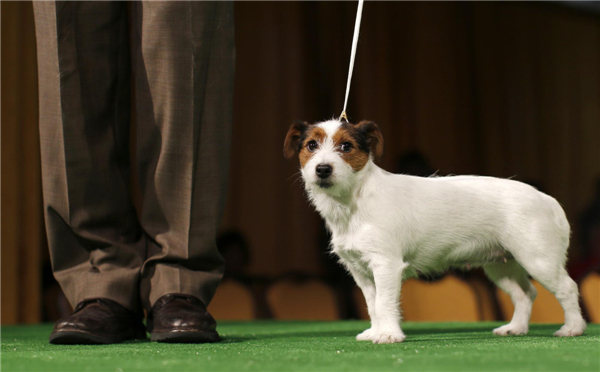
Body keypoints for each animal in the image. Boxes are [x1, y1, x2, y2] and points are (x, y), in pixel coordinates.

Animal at [284, 118, 584, 342]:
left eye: (346, 146)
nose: (323, 169)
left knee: (567, 288)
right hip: (502, 265)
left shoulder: (386, 265)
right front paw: (376, 331)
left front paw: (389, 335)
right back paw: (516, 328)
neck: (354, 200)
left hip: (538, 259)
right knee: (525, 293)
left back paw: (573, 328)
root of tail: (547, 199)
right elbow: (372, 304)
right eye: (311, 145)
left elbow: (384, 302)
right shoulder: (361, 271)